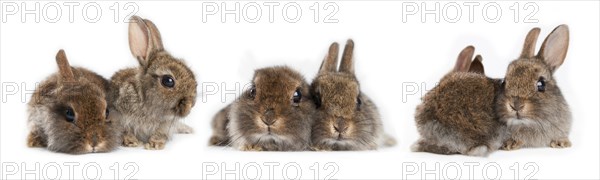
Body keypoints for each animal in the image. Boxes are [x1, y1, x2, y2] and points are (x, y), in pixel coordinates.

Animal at [109, 15, 198, 150]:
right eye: (168, 81)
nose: (190, 105)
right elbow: (125, 131)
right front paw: (131, 141)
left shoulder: (165, 126)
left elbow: (160, 134)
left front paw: (155, 144)